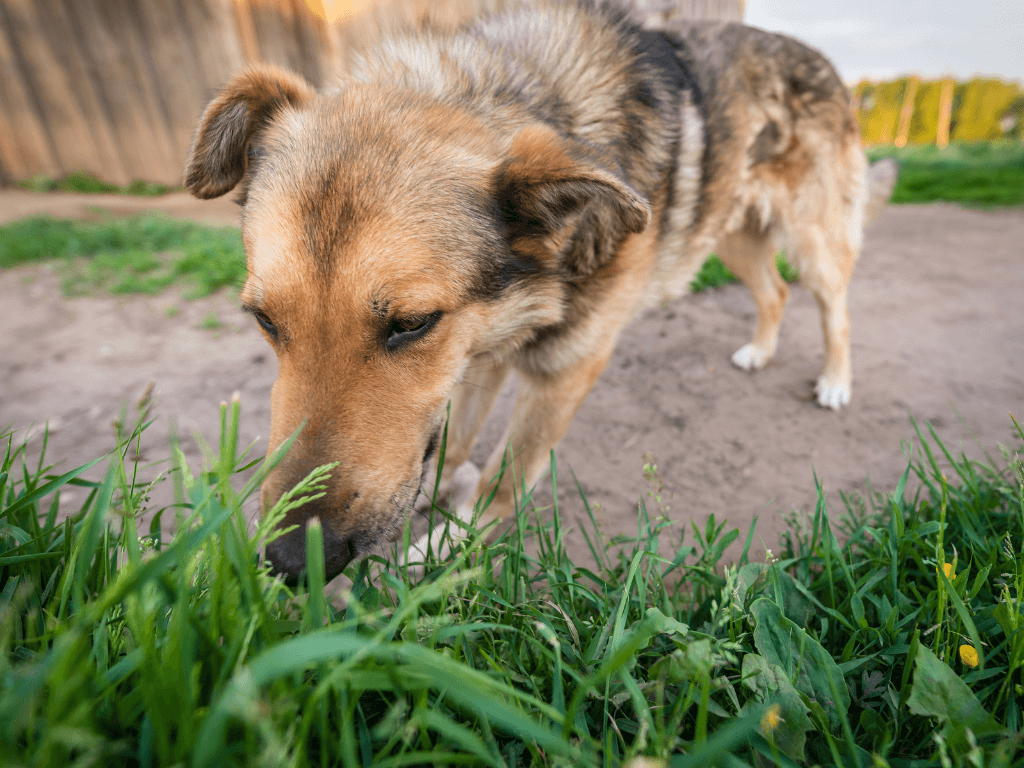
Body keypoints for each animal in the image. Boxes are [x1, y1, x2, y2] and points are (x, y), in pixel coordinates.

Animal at [184, 0, 897, 581]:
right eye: (265, 321)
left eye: (411, 323)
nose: (287, 562)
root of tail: (819, 58)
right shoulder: (482, 348)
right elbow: (456, 437)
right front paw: (437, 490)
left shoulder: (563, 368)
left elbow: (504, 476)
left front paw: (445, 550)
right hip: (731, 236)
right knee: (774, 292)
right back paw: (761, 350)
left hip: (812, 240)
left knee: (835, 307)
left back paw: (836, 380)